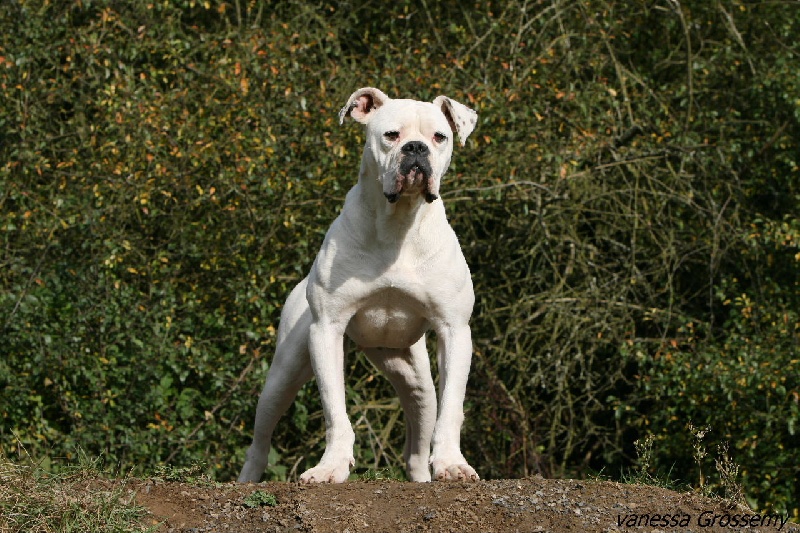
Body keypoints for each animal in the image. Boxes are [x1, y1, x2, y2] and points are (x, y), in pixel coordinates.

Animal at [238, 87, 476, 482]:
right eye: (391, 135)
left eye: (439, 137)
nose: (415, 148)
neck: (398, 225)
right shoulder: (327, 330)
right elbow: (335, 411)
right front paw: (330, 467)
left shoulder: (454, 330)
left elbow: (452, 409)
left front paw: (452, 463)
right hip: (282, 375)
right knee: (260, 439)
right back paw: (247, 479)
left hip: (416, 381)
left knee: (416, 445)